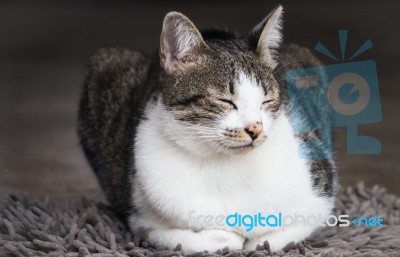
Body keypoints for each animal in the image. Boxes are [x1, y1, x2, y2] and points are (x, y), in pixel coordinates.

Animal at [76, 5, 336, 252]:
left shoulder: (321, 194)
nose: (256, 129)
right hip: (107, 62)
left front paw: (258, 241)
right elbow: (187, 238)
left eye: (266, 101)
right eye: (225, 101)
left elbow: (280, 234)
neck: (223, 163)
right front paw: (227, 238)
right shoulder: (142, 220)